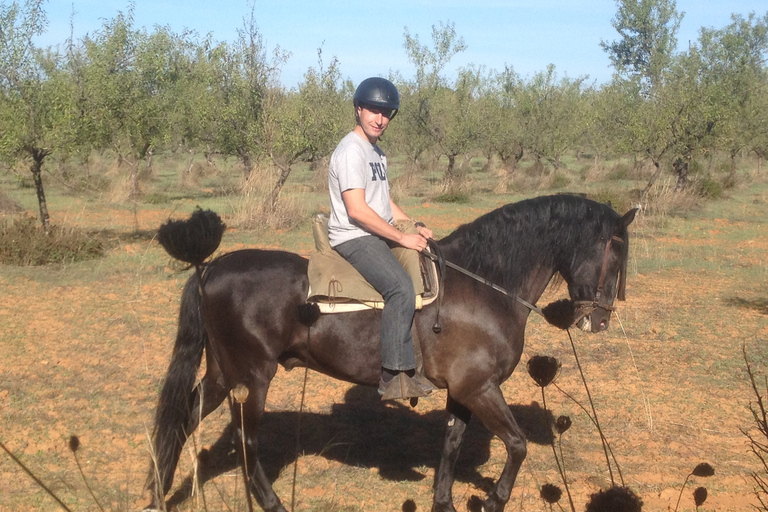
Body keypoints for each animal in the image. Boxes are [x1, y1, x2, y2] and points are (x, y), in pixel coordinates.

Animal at [144, 195, 636, 512]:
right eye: (616, 254)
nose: (600, 320)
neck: (483, 285)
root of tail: (211, 268)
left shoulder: (463, 391)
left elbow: (452, 445)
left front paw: (444, 502)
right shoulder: (480, 388)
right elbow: (517, 446)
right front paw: (493, 501)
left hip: (223, 374)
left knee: (183, 418)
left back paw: (158, 492)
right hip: (252, 378)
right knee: (246, 440)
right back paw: (271, 502)